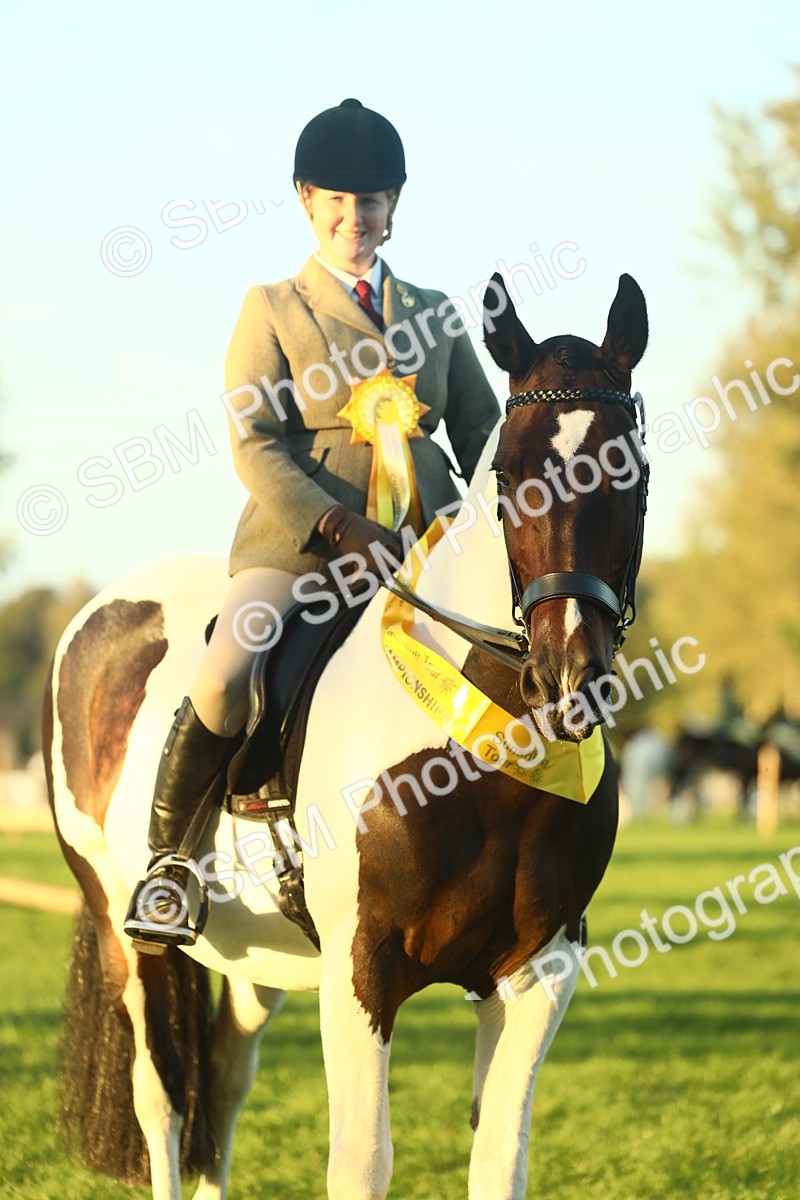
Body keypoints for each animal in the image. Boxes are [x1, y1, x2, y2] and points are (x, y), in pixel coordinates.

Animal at [44, 269, 649, 1200]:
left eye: (632, 469)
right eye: (508, 473)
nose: (568, 676)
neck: (482, 757)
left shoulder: (538, 973)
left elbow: (498, 1157)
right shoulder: (362, 967)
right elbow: (361, 1161)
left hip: (261, 958)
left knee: (223, 1086)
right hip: (123, 926)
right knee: (166, 1101)